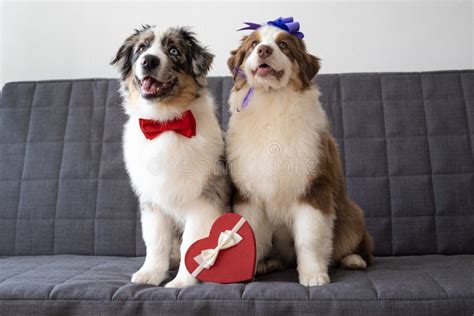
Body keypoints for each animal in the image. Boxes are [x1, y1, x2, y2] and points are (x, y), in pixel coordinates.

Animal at [112, 25, 229, 288]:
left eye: (174, 51)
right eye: (141, 48)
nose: (149, 61)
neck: (165, 123)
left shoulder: (204, 200)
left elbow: (192, 244)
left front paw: (182, 282)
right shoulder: (153, 200)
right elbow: (156, 241)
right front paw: (150, 274)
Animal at [226, 25, 374, 286]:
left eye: (283, 45)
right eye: (254, 44)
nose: (264, 50)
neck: (272, 102)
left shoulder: (313, 188)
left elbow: (310, 238)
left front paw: (314, 276)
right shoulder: (247, 195)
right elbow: (251, 235)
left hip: (353, 213)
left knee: (358, 246)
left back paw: (354, 260)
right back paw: (268, 263)